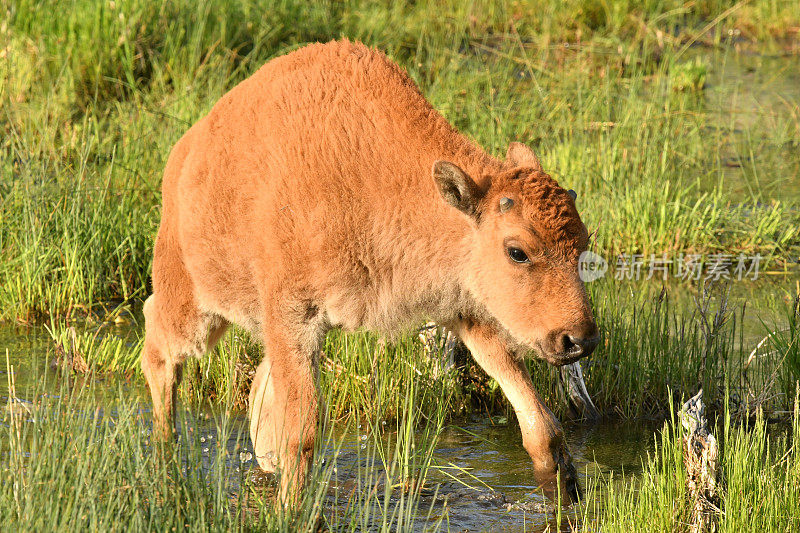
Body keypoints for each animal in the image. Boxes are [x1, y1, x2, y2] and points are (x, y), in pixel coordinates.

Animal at [142, 39, 600, 504]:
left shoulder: (464, 308)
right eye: (517, 252)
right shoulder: (294, 316)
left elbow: (538, 418)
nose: (579, 340)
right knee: (159, 349)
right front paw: (293, 508)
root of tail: (183, 153)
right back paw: (165, 462)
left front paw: (566, 492)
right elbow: (301, 432)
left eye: (583, 242)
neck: (377, 181)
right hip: (194, 304)